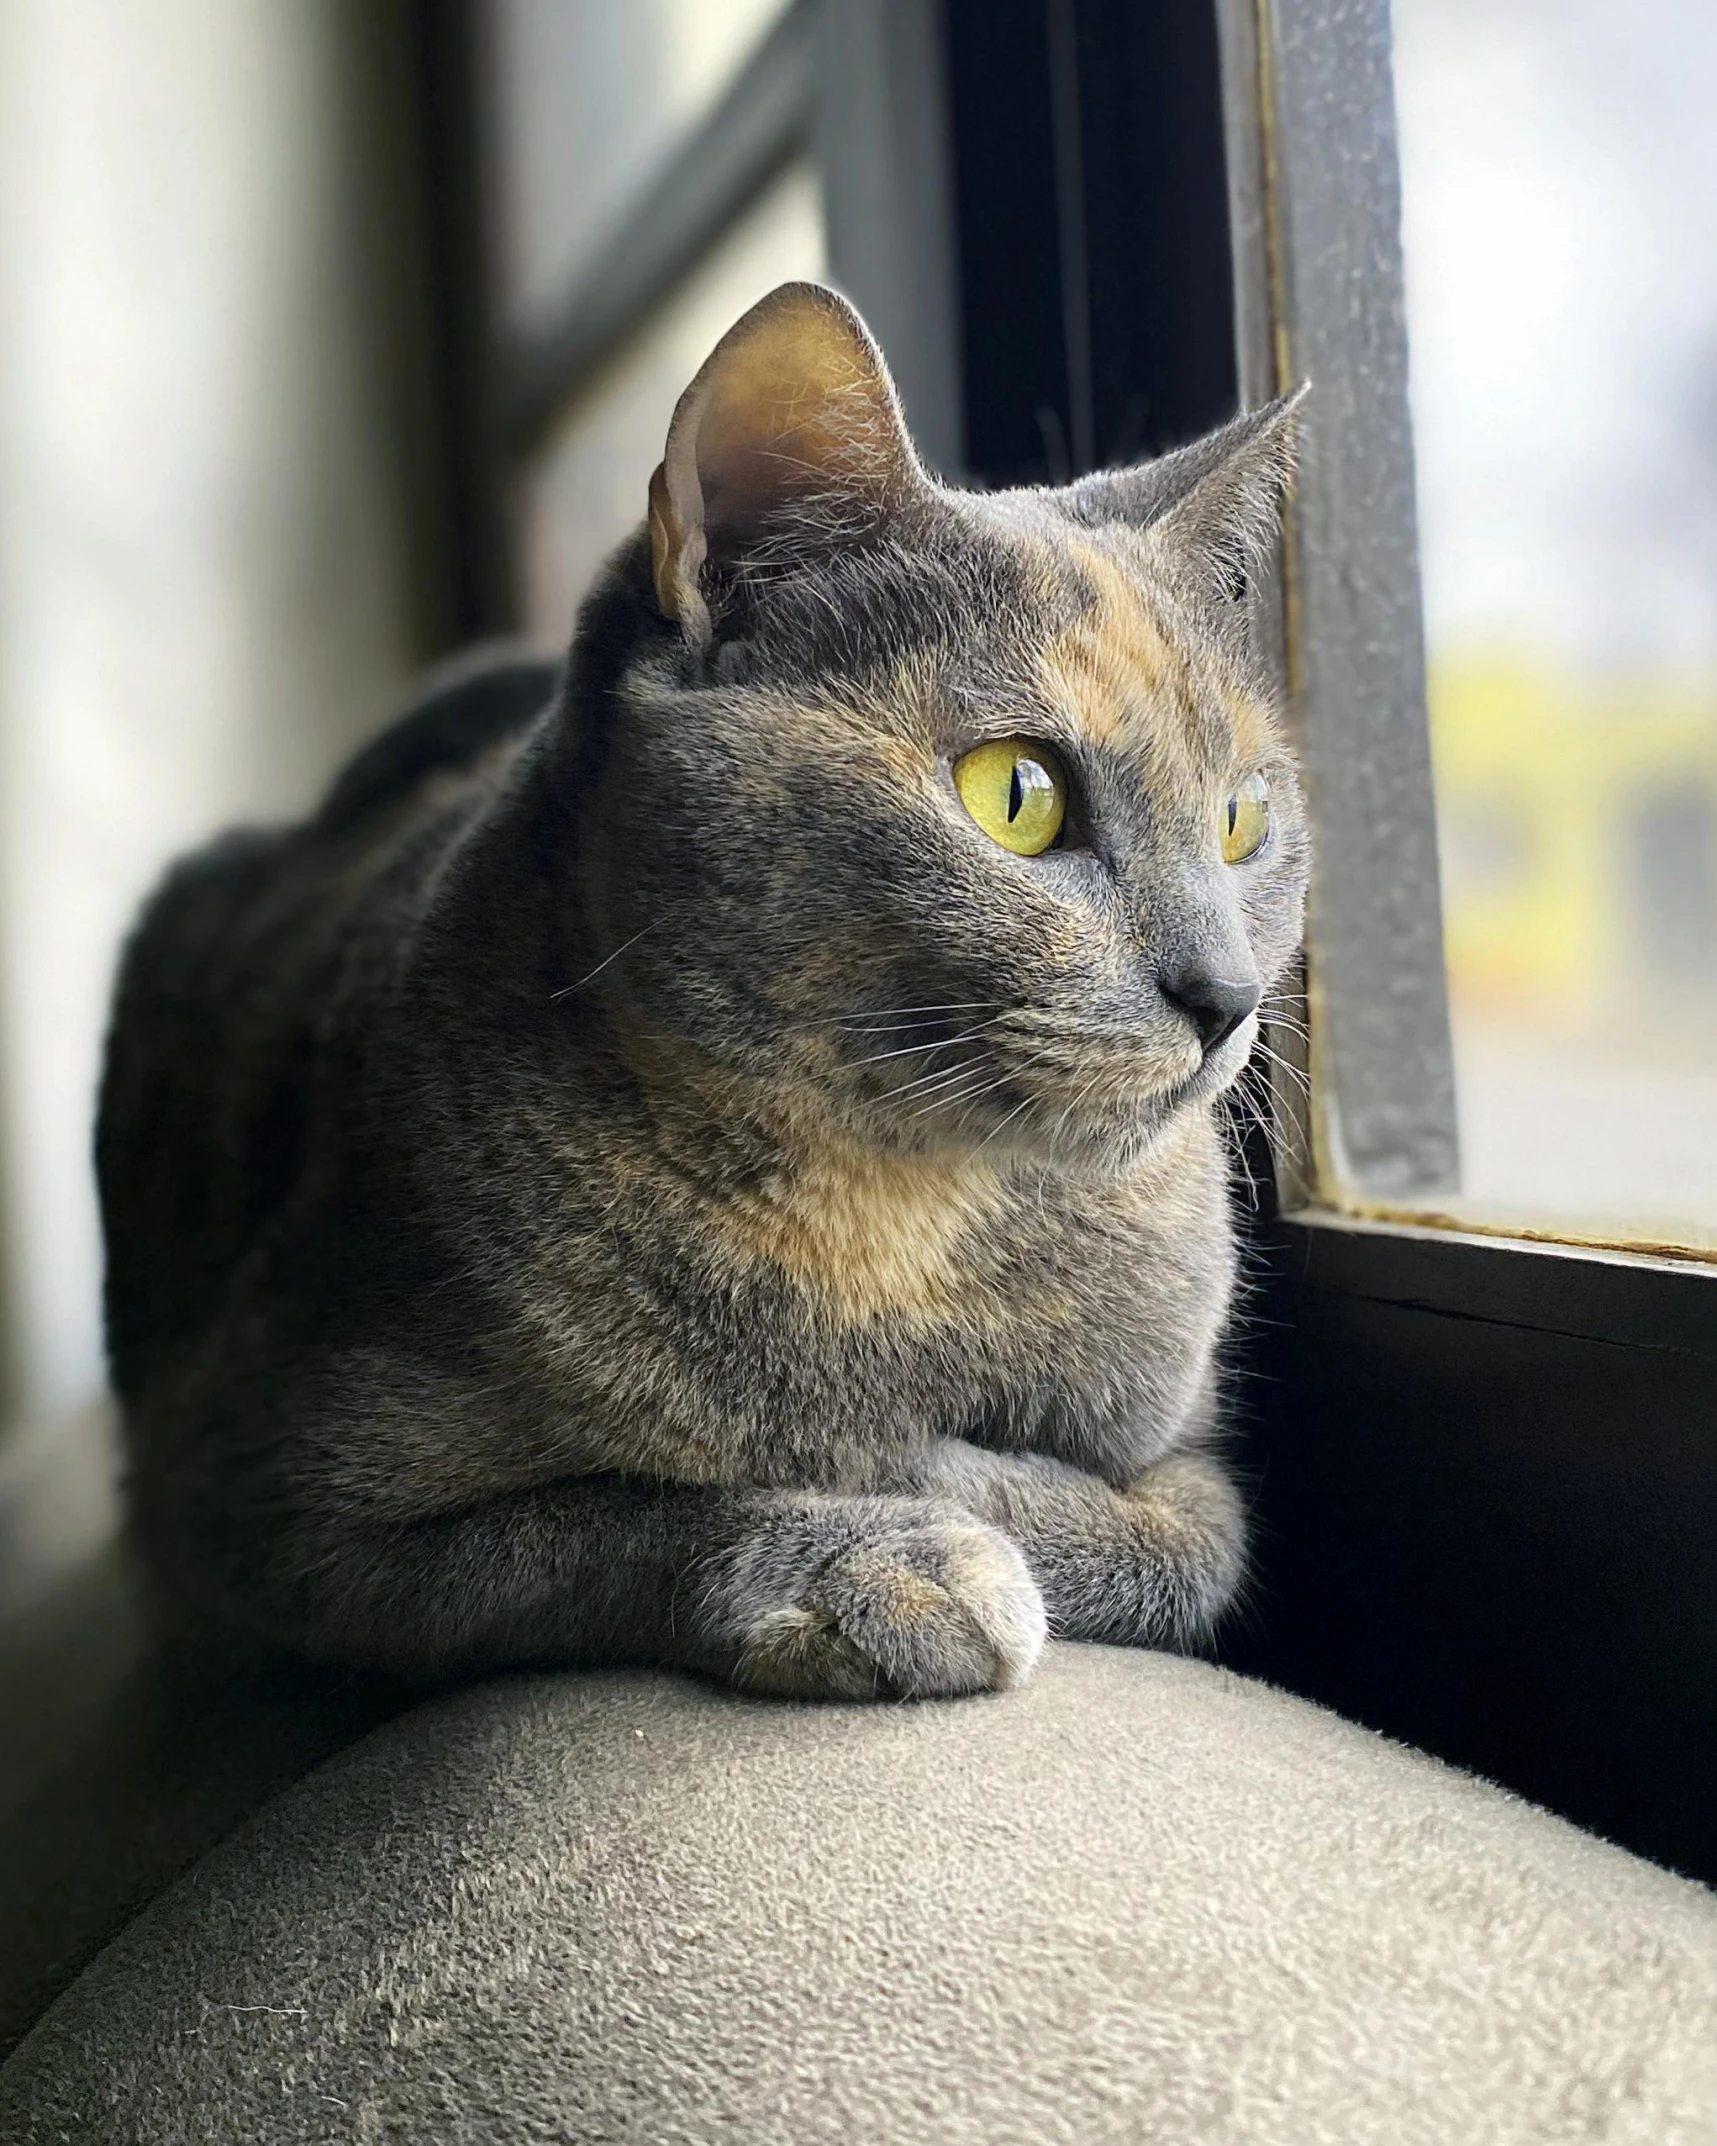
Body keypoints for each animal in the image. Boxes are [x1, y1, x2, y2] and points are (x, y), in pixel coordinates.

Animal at [93, 281, 1304, 1691]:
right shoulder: (251, 1492)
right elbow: (603, 1517)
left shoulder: (1189, 1452)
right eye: (1017, 793)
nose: (1223, 993)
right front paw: (884, 1543)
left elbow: (1191, 1544)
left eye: (1242, 820)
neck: (905, 1224)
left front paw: (927, 1471)